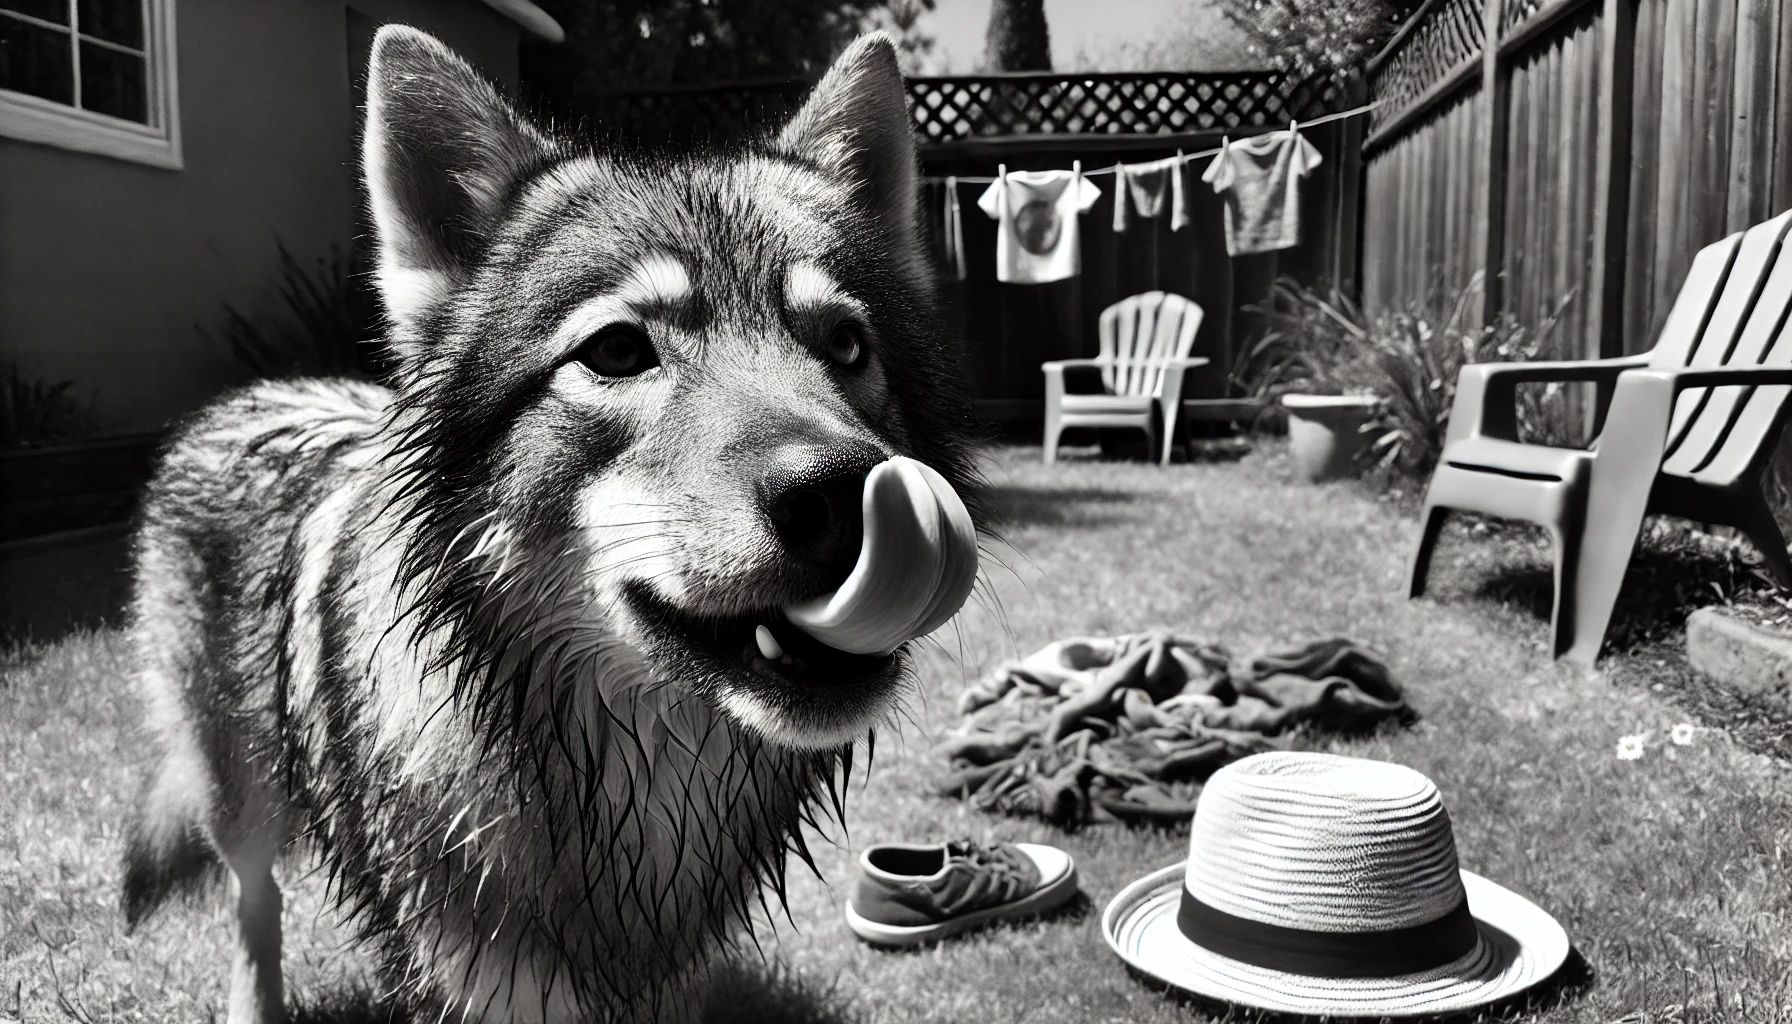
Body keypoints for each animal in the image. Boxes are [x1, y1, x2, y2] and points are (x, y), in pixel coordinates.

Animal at [120, 25, 983, 1024]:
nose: (847, 491)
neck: (625, 777)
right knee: (253, 901)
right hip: (240, 799)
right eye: (616, 350)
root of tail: (247, 393)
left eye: (846, 345)